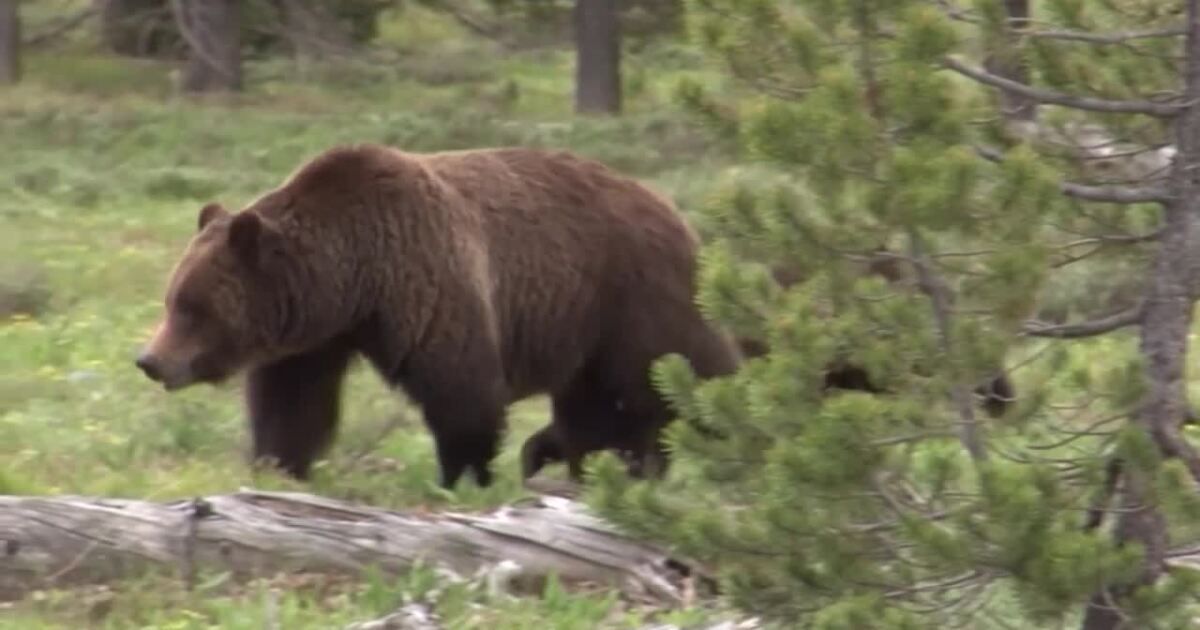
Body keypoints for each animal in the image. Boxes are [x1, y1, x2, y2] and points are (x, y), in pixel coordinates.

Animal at [136, 142, 744, 487]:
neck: (354, 275)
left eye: (192, 307)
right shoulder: (314, 336)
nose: (150, 360)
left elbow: (462, 393)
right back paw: (578, 462)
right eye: (172, 298)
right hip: (587, 328)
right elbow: (292, 403)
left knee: (679, 374)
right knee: (594, 406)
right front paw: (277, 467)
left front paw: (463, 475)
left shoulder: (428, 282)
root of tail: (674, 210)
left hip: (633, 297)